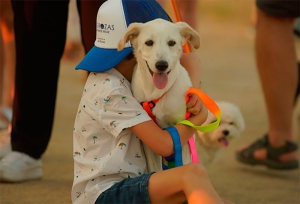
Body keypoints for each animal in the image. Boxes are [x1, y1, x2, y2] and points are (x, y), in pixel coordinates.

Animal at [118, 18, 202, 173]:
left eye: (172, 43)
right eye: (149, 42)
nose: (162, 65)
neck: (156, 93)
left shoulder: (182, 134)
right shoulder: (151, 141)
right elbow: (155, 168)